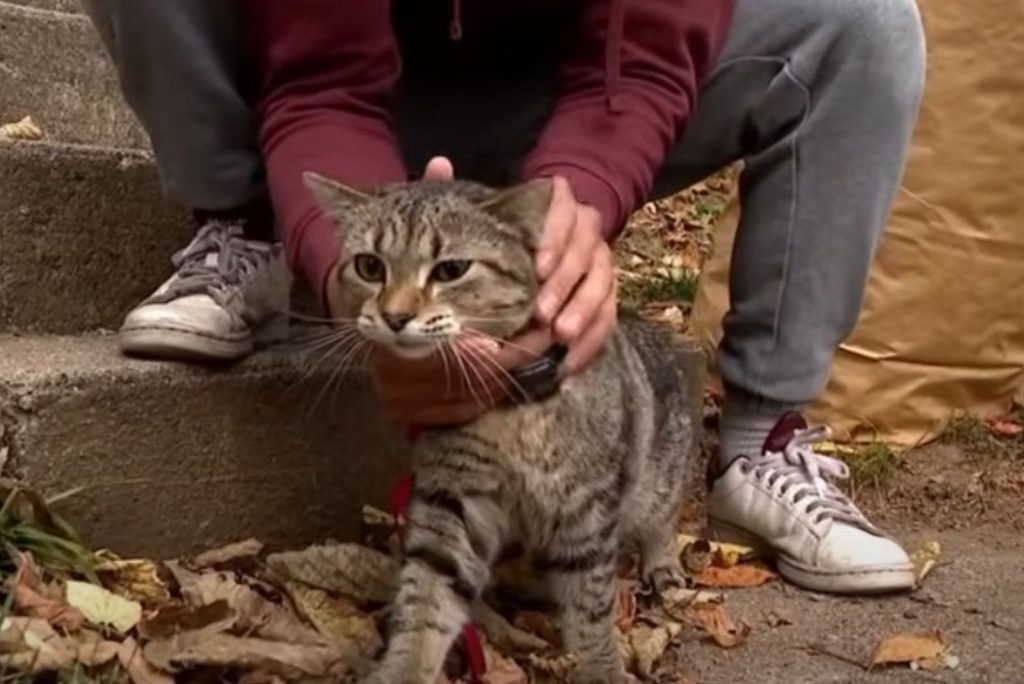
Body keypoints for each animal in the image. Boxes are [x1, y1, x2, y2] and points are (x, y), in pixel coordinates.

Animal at [303, 175, 696, 684]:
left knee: (661, 518)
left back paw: (662, 564)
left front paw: (603, 669)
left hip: (658, 475)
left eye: (451, 269)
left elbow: (591, 612)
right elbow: (427, 599)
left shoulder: (586, 511)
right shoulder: (452, 500)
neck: (509, 416)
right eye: (369, 266)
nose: (394, 317)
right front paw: (404, 669)